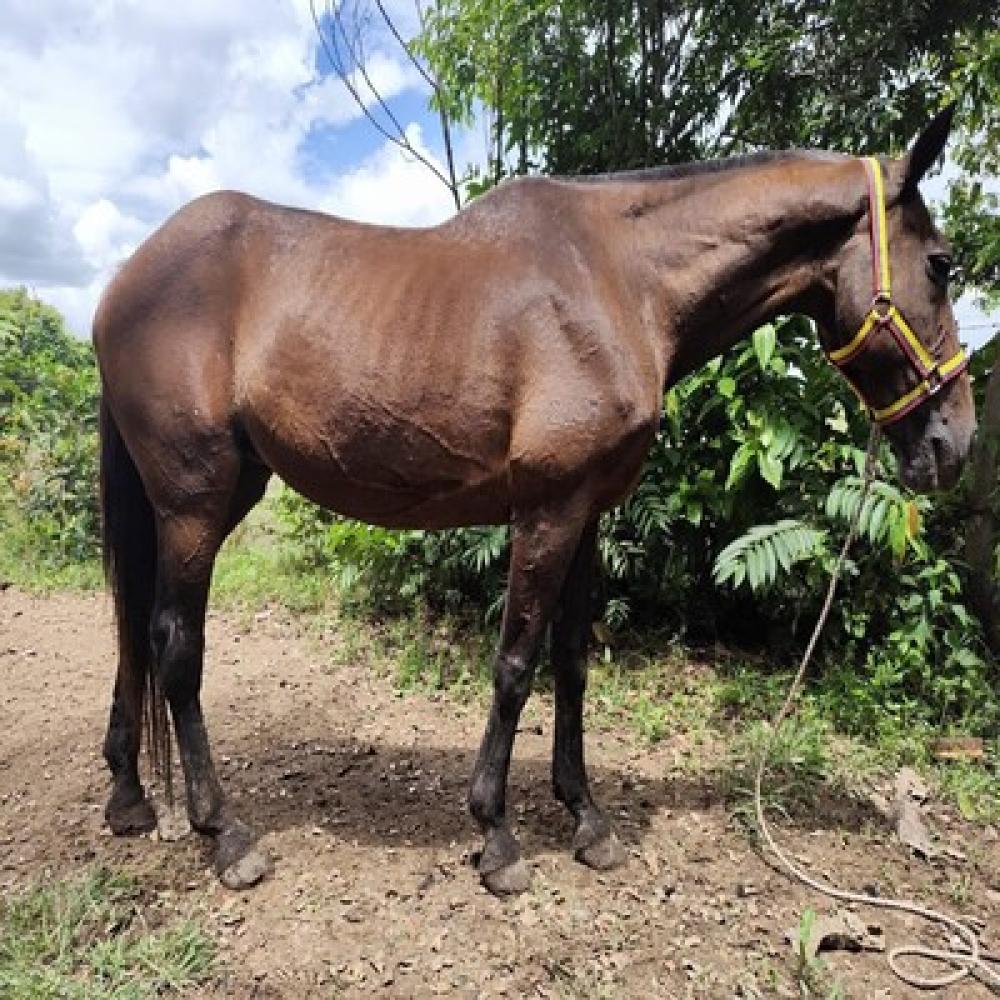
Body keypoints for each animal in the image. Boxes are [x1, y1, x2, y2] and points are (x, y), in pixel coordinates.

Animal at [94, 106, 975, 895]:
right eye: (940, 264)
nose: (954, 443)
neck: (620, 279)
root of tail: (120, 285)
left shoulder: (587, 515)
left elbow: (572, 663)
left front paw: (586, 818)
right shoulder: (547, 510)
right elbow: (516, 664)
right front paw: (497, 835)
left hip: (211, 495)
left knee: (136, 634)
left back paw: (130, 796)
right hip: (195, 502)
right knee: (174, 643)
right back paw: (224, 833)